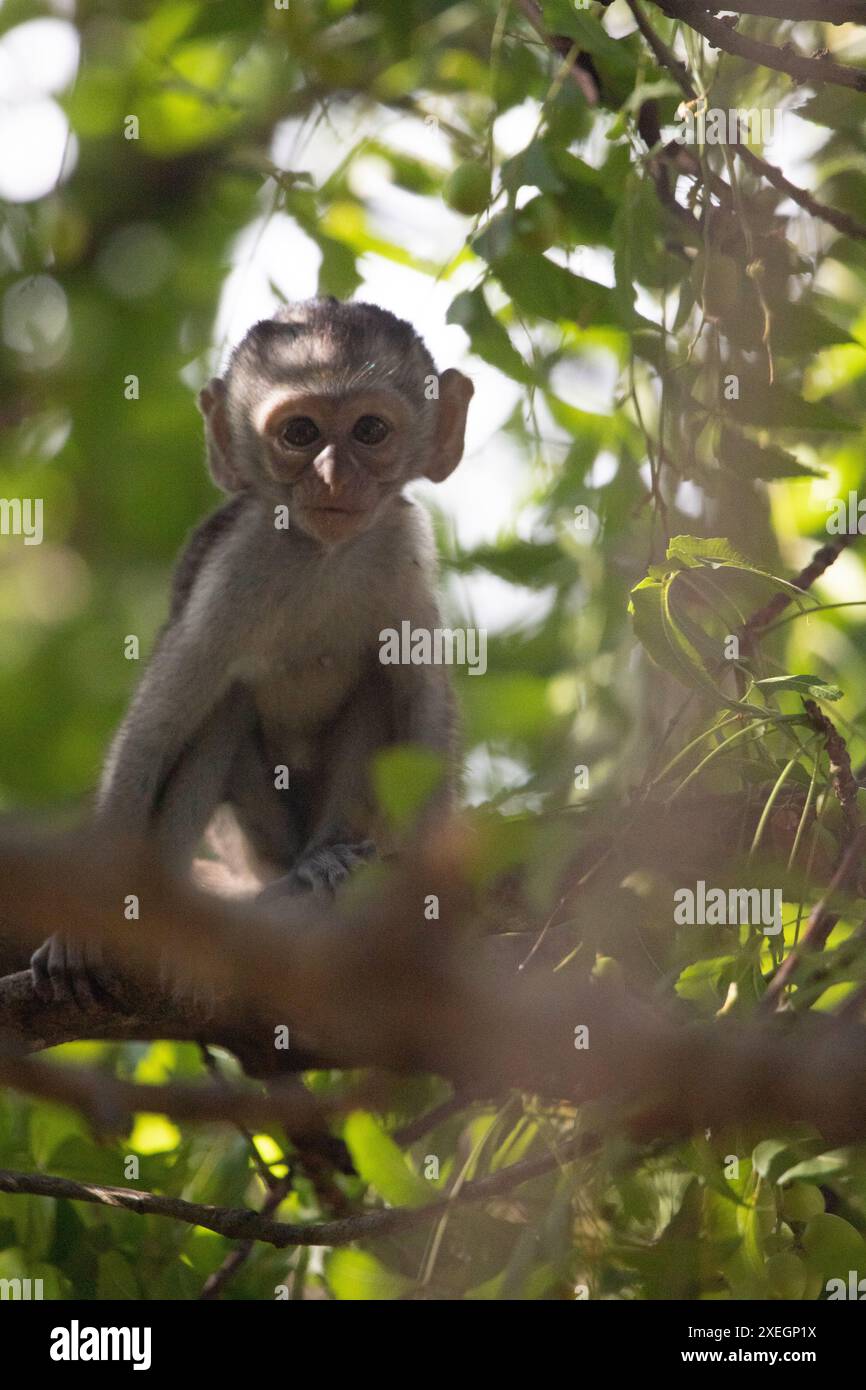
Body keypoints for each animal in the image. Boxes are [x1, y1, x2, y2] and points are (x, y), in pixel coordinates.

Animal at [32, 296, 475, 1011]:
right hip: (255, 844)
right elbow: (157, 726)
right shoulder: (236, 567)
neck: (322, 556)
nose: (334, 476)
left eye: (369, 431)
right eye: (300, 433)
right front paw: (87, 929)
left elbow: (422, 706)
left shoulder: (404, 552)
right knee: (223, 708)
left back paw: (327, 859)